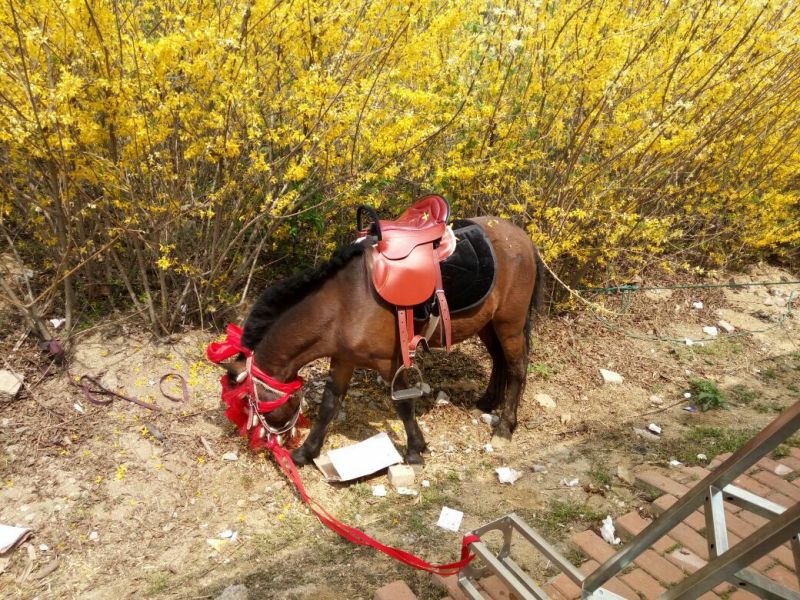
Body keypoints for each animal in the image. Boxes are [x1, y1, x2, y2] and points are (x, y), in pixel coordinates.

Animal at [218, 214, 546, 466]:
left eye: (249, 403)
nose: (259, 443)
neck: (343, 301)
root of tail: (522, 237)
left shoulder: (389, 363)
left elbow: (402, 404)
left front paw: (414, 450)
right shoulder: (343, 359)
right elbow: (329, 404)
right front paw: (306, 453)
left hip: (509, 324)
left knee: (517, 368)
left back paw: (505, 427)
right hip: (488, 324)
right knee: (499, 361)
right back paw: (488, 402)